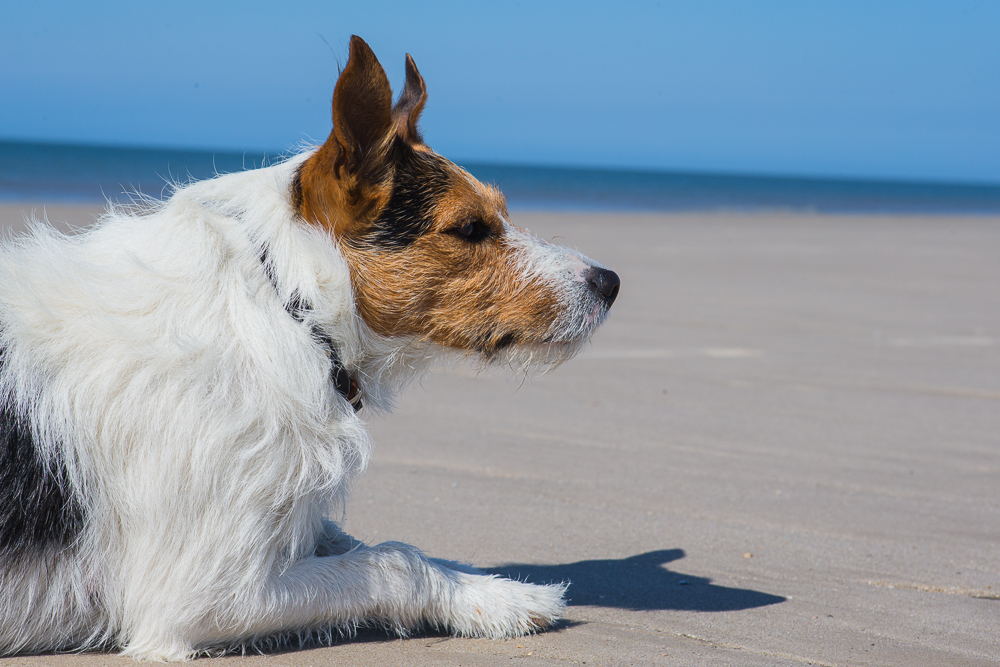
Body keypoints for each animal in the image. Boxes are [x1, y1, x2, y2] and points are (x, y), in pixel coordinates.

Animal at [0, 37, 620, 664]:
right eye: (470, 228)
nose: (609, 282)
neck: (286, 306)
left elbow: (363, 541)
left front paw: (496, 592)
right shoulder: (203, 594)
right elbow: (397, 559)